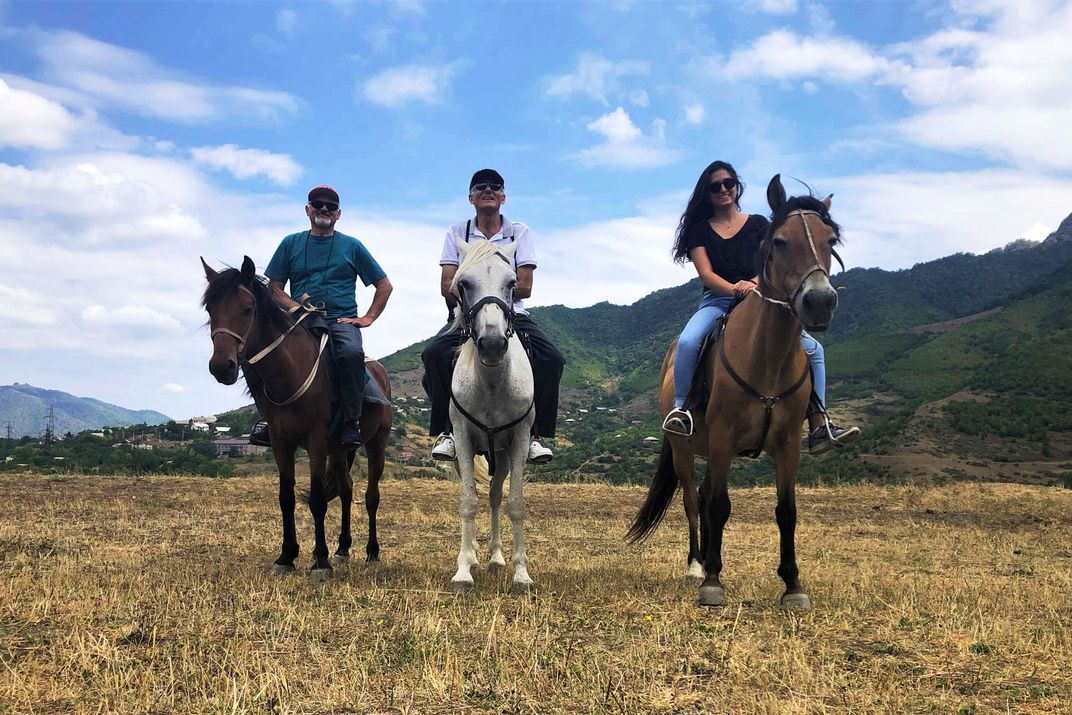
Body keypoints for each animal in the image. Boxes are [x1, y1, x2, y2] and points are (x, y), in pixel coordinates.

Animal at [201, 257, 394, 583]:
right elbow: (286, 497)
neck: (290, 370)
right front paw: (287, 556)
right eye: (210, 310)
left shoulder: (315, 442)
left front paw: (320, 561)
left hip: (375, 442)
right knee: (346, 490)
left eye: (248, 308)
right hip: (340, 449)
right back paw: (343, 549)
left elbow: (316, 500)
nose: (221, 367)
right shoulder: (281, 443)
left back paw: (371, 552)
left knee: (371, 496)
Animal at [448, 237, 540, 596]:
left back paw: (497, 557)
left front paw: (521, 574)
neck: (491, 384)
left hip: (500, 456)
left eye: (512, 283)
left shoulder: (518, 442)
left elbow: (515, 504)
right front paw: (462, 570)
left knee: (496, 496)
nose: (491, 344)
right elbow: (467, 502)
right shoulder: (462, 437)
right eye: (463, 283)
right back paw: (474, 555)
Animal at [626, 175, 844, 613]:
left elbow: (786, 511)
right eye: (779, 241)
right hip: (686, 449)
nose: (819, 302)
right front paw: (712, 582)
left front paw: (793, 584)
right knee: (695, 502)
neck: (767, 358)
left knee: (706, 496)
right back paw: (697, 565)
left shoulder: (787, 444)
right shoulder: (724, 437)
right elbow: (718, 506)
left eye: (830, 240)